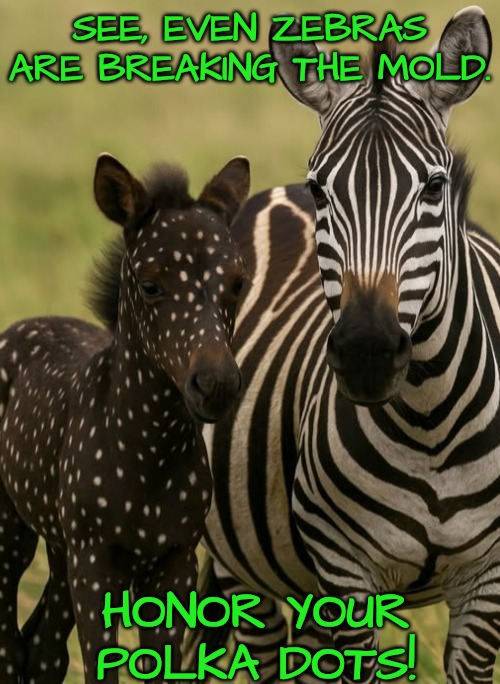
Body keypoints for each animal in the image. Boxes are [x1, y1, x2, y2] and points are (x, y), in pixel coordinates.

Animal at [187, 6, 500, 684]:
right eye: (322, 191)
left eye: (434, 188)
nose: (366, 353)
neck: (432, 424)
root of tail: (271, 192)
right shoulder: (345, 571)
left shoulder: (489, 578)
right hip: (246, 567)